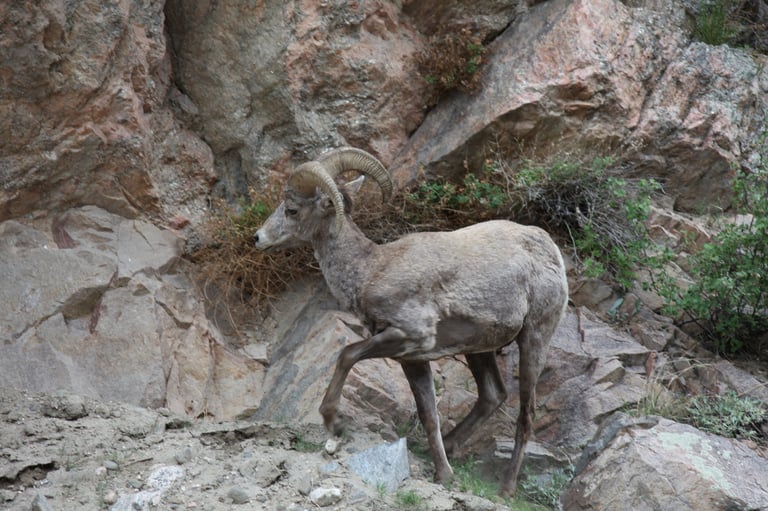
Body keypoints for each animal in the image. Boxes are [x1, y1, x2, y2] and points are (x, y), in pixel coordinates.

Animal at [253, 147, 568, 496]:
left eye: (292, 209)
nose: (258, 238)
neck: (370, 269)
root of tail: (550, 251)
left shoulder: (409, 336)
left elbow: (346, 354)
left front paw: (333, 422)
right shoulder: (413, 359)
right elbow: (428, 414)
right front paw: (443, 475)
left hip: (534, 338)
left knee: (526, 414)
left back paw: (507, 487)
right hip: (479, 348)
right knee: (492, 395)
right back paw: (451, 448)